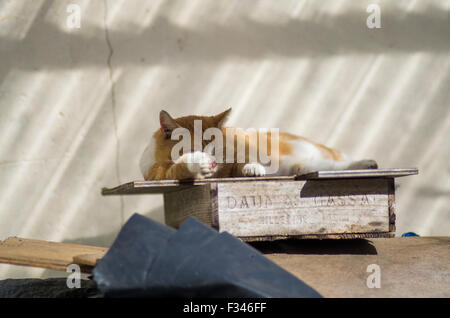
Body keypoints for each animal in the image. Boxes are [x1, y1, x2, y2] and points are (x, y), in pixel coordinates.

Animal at [139, 108, 378, 179]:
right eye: (190, 149)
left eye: (216, 148)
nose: (213, 162)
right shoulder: (157, 175)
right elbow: (178, 167)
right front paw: (197, 162)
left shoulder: (235, 158)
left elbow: (242, 163)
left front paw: (253, 168)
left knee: (336, 164)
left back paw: (366, 163)